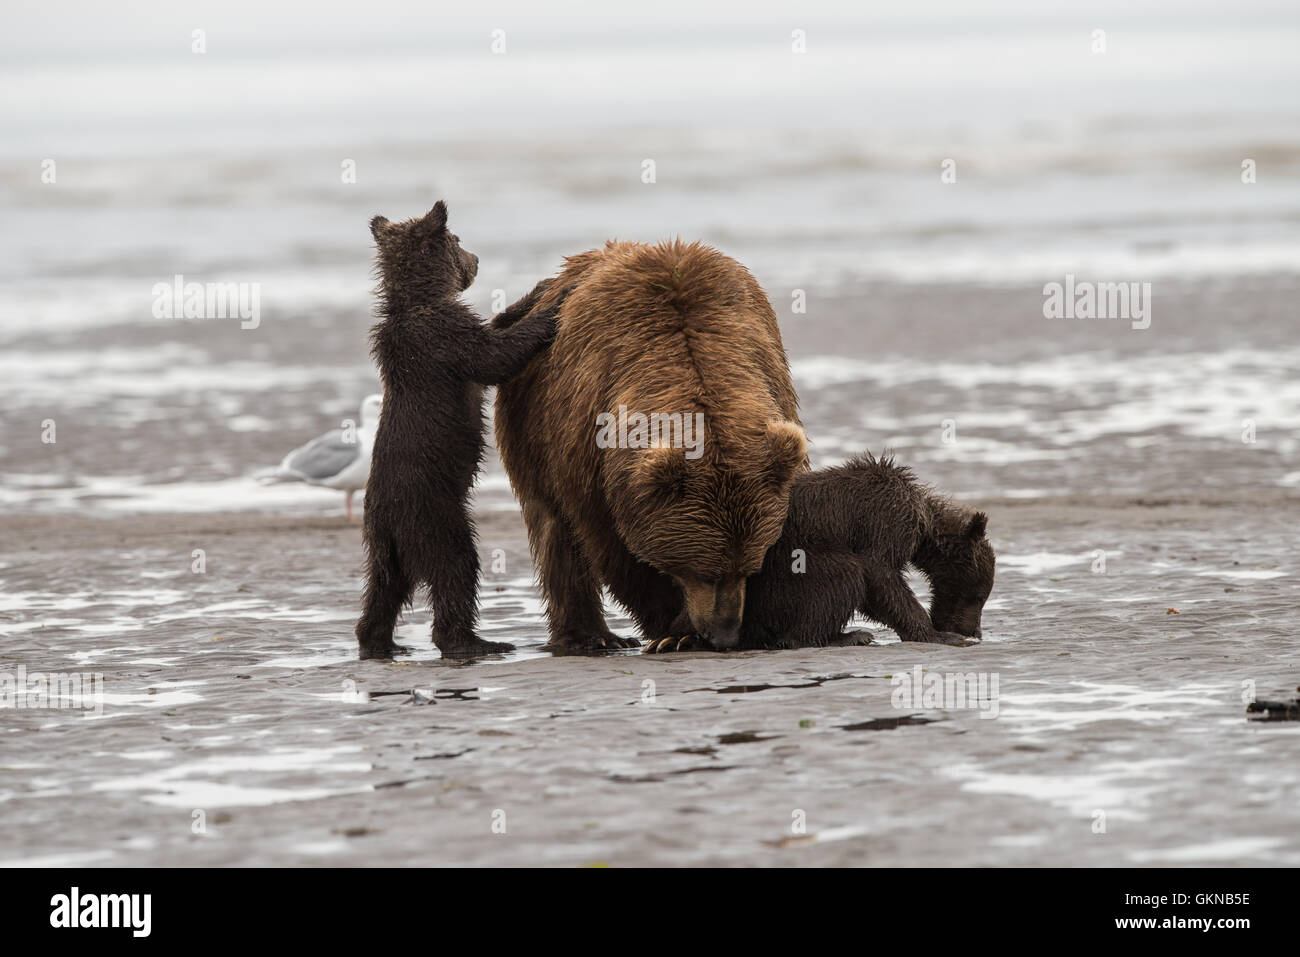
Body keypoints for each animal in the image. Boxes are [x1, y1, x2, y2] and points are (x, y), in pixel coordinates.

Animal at [356, 200, 566, 660]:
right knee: (456, 566)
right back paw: (475, 641)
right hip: (434, 513)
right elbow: (494, 355)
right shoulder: (444, 341)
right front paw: (555, 301)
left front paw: (540, 288)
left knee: (382, 589)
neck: (419, 301)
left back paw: (380, 642)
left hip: (384, 545)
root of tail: (388, 521)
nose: (477, 258)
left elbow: (497, 328)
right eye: (457, 239)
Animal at [493, 239, 808, 652]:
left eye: (749, 566)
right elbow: (613, 547)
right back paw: (590, 636)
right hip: (529, 428)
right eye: (702, 570)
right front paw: (675, 630)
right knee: (554, 529)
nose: (724, 634)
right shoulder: (589, 445)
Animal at [643, 453, 995, 652]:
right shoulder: (883, 521)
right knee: (842, 576)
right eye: (977, 595)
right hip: (782, 573)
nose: (974, 630)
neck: (923, 520)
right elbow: (878, 574)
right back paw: (850, 635)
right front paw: (939, 635)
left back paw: (673, 638)